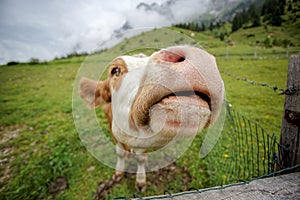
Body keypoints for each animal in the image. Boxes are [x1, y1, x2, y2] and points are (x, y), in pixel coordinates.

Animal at [78, 44, 224, 191]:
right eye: (115, 70)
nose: (198, 56)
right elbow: (119, 153)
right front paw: (118, 172)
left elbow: (141, 159)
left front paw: (140, 181)